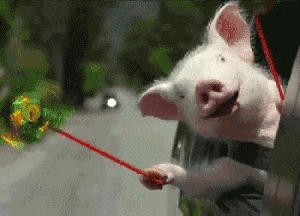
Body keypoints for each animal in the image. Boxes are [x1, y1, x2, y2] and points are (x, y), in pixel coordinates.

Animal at [137, 1, 282, 201]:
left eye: (222, 58)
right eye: (182, 95)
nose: (203, 85)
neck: (263, 130)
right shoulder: (237, 168)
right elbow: (204, 184)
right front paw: (152, 174)